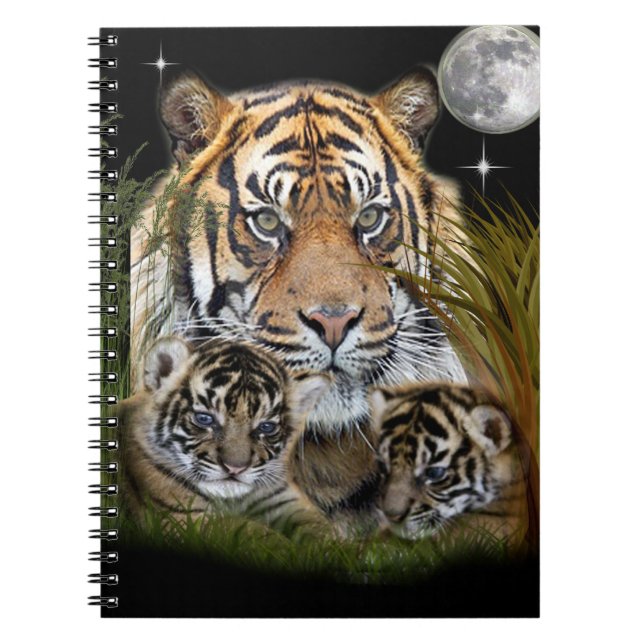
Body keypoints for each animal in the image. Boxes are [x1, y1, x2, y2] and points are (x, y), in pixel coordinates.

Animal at [118, 336, 331, 527]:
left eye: (266, 427)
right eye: (205, 418)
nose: (235, 468)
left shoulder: (285, 499)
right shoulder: (184, 516)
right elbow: (253, 531)